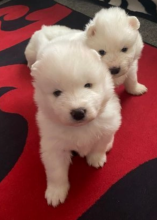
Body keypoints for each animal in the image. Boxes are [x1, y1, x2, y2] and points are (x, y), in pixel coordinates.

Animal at [30, 40, 121, 207]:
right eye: (57, 92)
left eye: (88, 85)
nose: (78, 112)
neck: (80, 128)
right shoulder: (53, 146)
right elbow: (56, 171)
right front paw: (56, 192)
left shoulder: (106, 127)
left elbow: (99, 146)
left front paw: (96, 159)